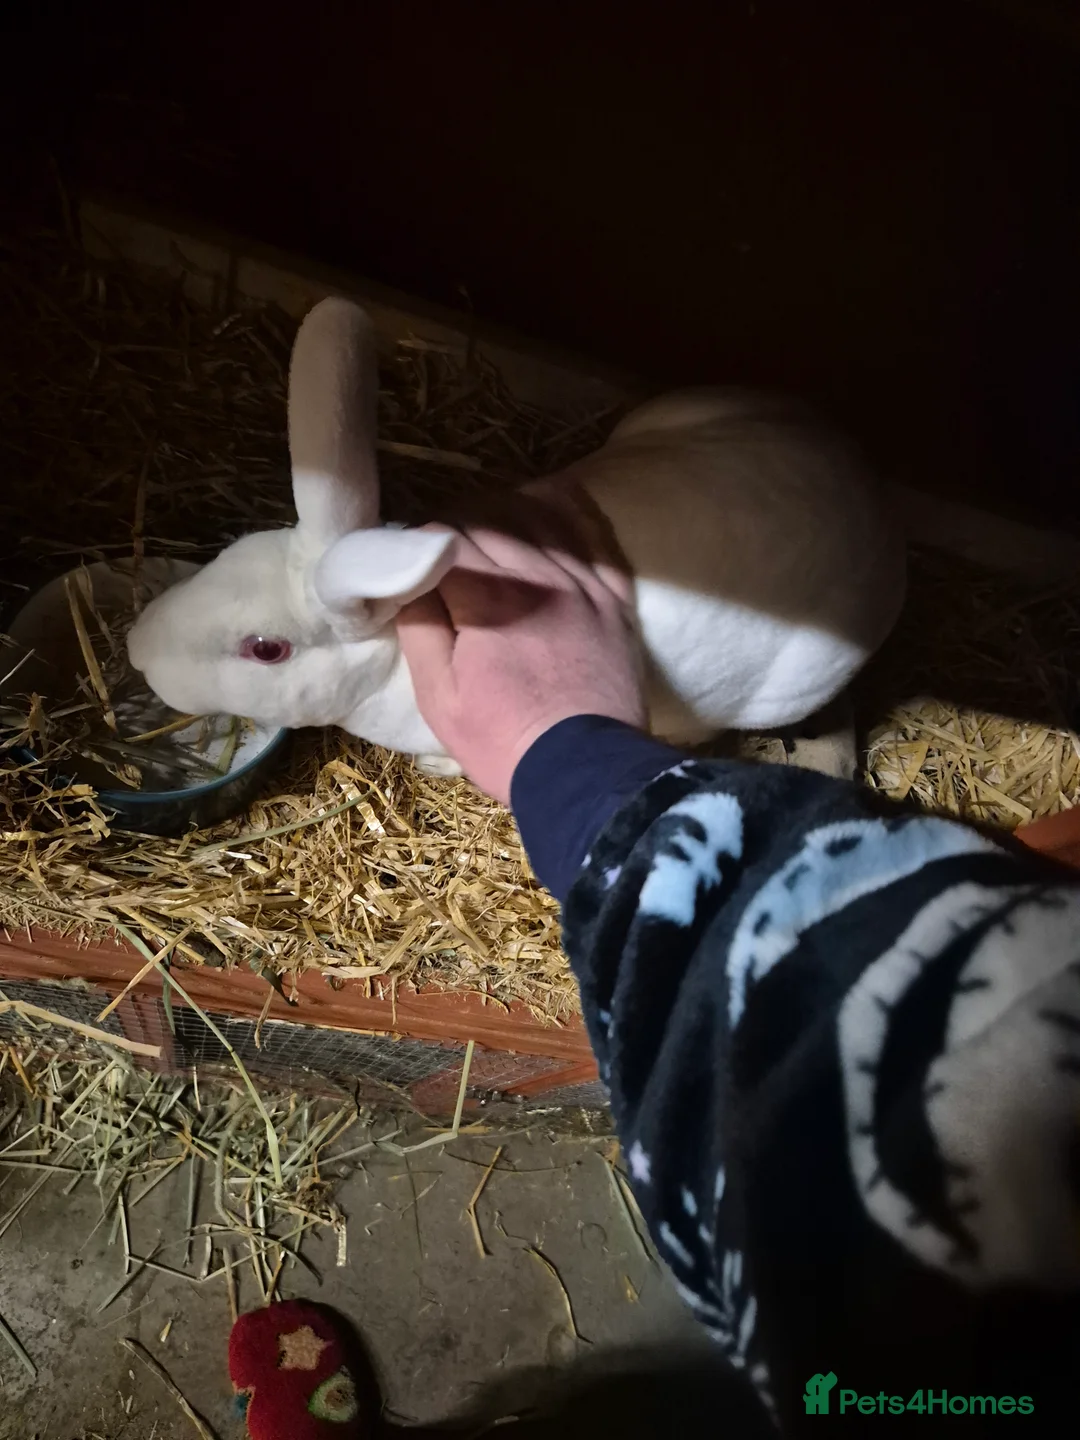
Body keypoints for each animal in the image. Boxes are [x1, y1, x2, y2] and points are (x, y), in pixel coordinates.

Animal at [126, 297, 906, 778]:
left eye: (266, 649)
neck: (398, 646)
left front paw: (438, 765)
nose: (137, 650)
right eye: (226, 553)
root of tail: (869, 496)